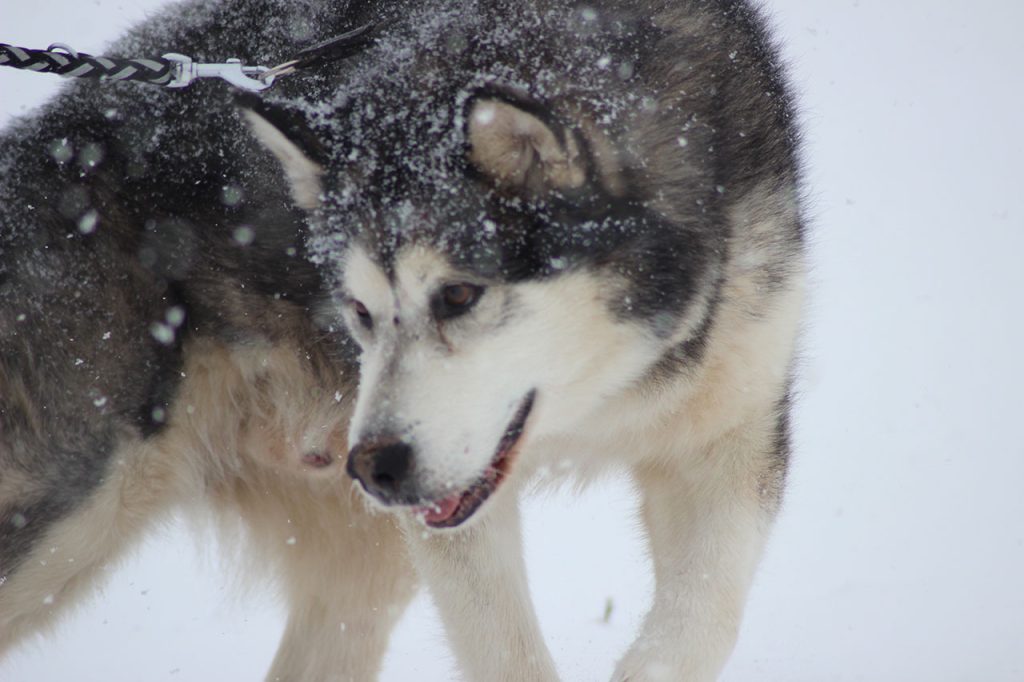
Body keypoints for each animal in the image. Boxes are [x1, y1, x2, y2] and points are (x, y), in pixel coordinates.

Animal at [4, 1, 806, 679]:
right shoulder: (455, 519)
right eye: (359, 309)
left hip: (358, 565)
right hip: (72, 505)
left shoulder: (729, 438)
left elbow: (702, 622)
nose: (376, 467)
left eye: (457, 295)